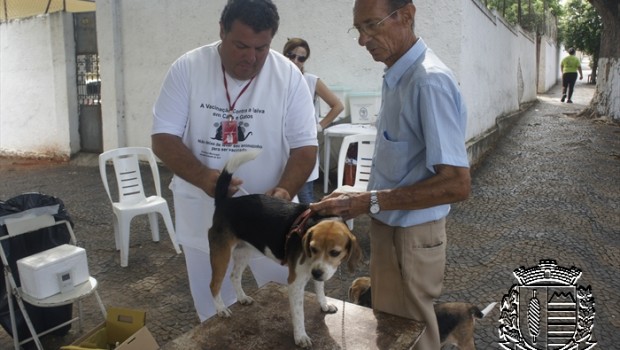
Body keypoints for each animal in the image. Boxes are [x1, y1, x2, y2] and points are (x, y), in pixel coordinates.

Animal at [209, 150, 364, 348]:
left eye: (335, 253)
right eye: (312, 248)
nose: (315, 273)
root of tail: (224, 202)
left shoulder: (320, 272)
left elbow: (320, 290)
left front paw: (324, 305)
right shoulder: (295, 283)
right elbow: (299, 315)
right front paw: (300, 336)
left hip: (244, 252)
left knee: (234, 276)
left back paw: (242, 297)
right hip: (221, 254)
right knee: (214, 284)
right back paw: (221, 309)